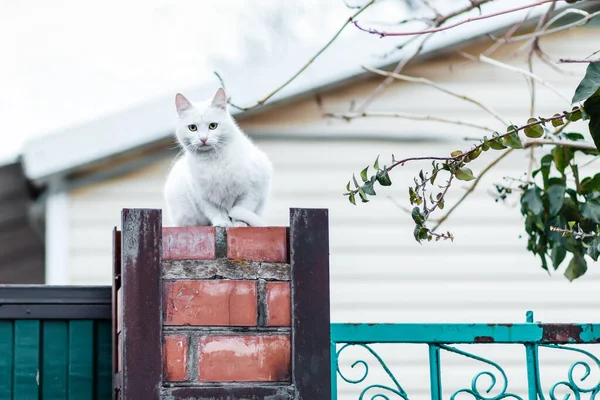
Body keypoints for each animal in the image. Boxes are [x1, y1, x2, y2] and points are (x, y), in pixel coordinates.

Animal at [164, 88, 272, 228]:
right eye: (192, 128)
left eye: (213, 126)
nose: (203, 139)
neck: (213, 160)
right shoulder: (204, 198)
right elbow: (216, 213)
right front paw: (223, 224)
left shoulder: (251, 191)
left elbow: (243, 208)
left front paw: (239, 224)